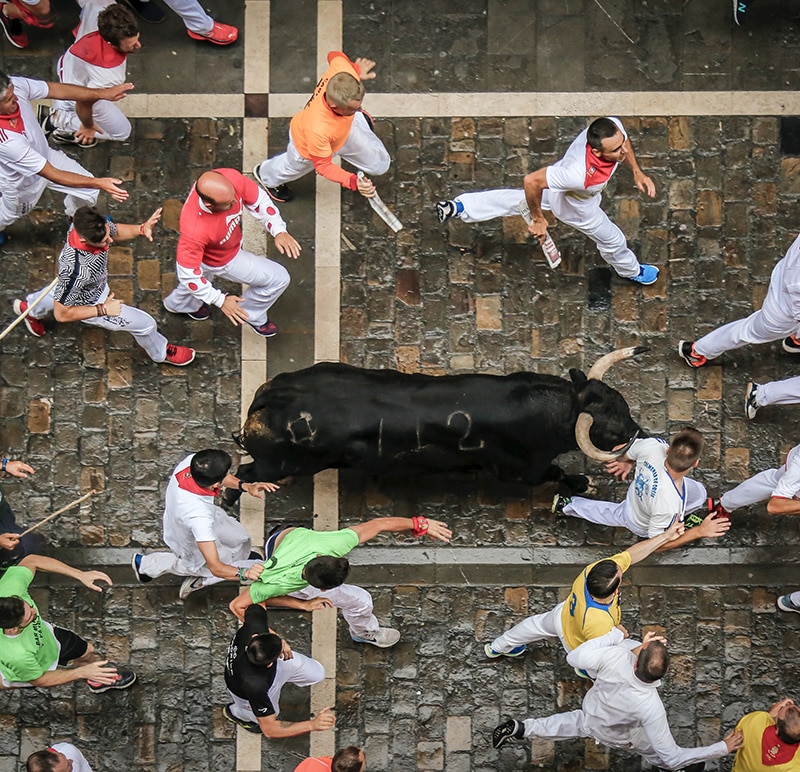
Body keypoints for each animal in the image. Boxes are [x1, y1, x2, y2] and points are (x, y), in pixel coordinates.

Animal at [234, 346, 648, 492]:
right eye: (611, 428)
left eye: (622, 402)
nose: (639, 431)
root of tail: (268, 398)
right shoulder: (518, 472)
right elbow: (556, 474)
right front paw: (582, 483)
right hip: (279, 465)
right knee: (243, 474)